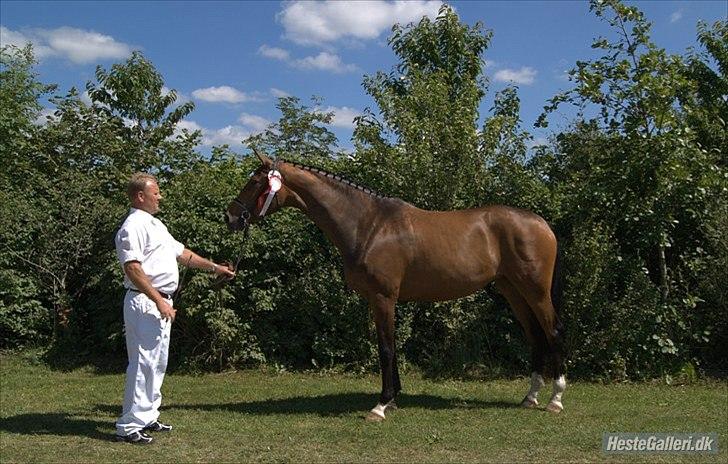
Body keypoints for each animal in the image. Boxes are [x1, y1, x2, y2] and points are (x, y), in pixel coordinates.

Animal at [225, 153, 564, 420]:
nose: (230, 216)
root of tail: (542, 224)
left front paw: (381, 405)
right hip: (512, 290)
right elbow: (389, 345)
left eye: (254, 182)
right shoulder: (381, 300)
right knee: (534, 335)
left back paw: (555, 399)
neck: (369, 225)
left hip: (535, 290)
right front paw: (393, 399)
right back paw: (530, 397)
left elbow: (386, 348)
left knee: (552, 331)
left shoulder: (383, 297)